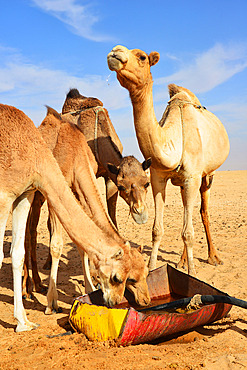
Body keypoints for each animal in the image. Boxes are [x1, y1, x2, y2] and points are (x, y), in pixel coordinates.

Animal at [0, 103, 147, 332]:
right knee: (31, 231)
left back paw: (35, 285)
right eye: (124, 278)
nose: (144, 300)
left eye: (146, 272)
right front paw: (51, 303)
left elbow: (82, 247)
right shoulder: (48, 189)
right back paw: (29, 288)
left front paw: (88, 287)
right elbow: (56, 245)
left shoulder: (71, 187)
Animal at [107, 45, 230, 274]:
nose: (115, 51)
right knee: (187, 213)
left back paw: (213, 257)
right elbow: (157, 230)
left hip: (208, 176)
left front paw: (192, 273)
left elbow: (189, 232)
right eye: (120, 186)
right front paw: (152, 268)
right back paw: (181, 261)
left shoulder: (192, 177)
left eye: (142, 57)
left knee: (203, 212)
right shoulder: (157, 178)